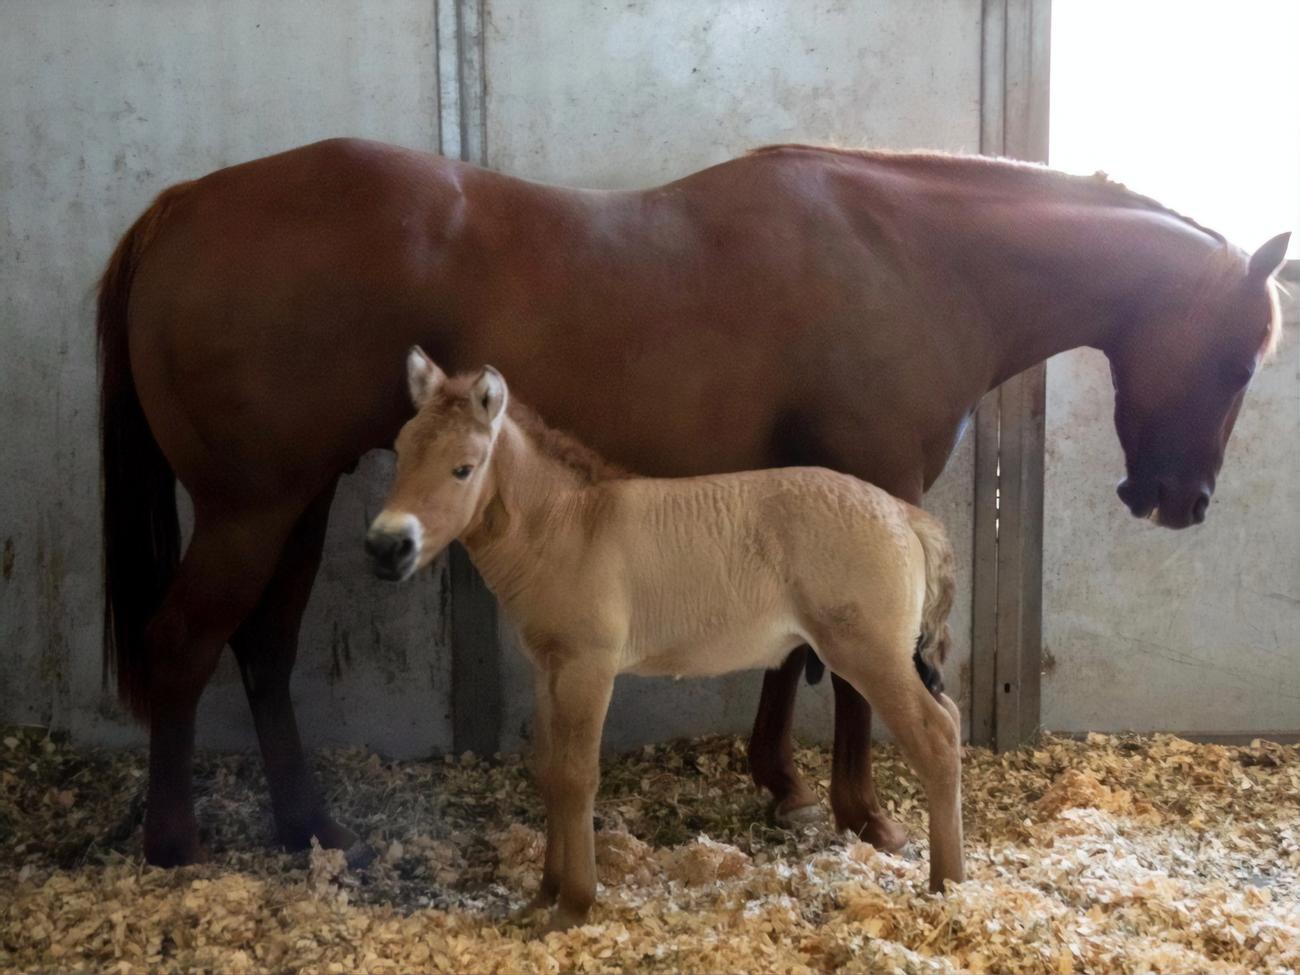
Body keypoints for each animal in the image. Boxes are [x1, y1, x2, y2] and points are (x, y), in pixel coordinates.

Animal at [371, 351, 961, 930]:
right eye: (400, 454)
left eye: (463, 467)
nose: (386, 547)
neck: (569, 526)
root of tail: (905, 515)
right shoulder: (548, 670)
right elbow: (550, 773)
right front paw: (542, 897)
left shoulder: (588, 668)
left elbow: (577, 777)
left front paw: (574, 905)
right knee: (950, 719)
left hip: (870, 655)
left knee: (936, 737)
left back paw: (948, 887)